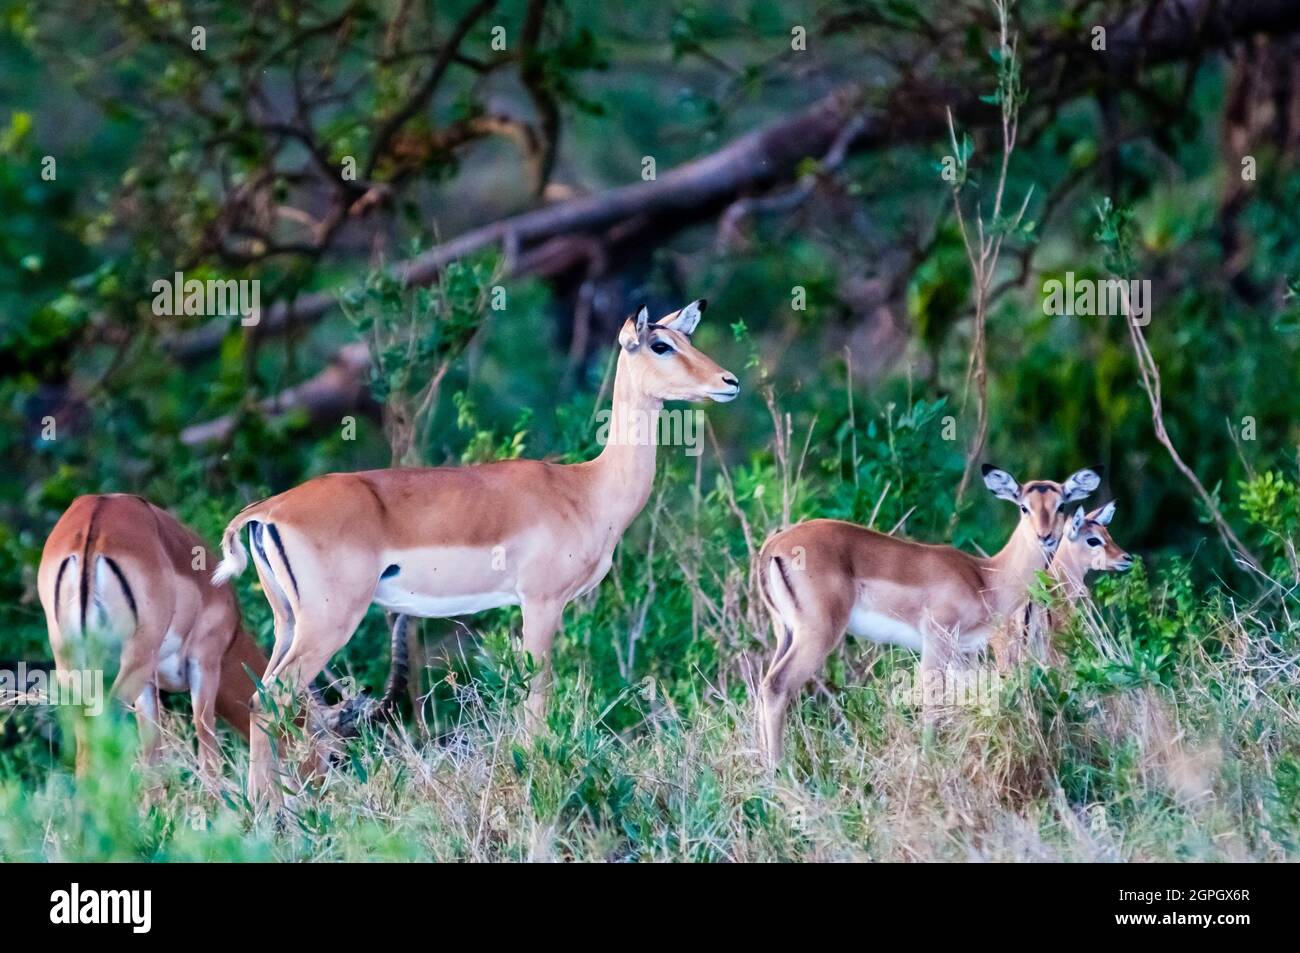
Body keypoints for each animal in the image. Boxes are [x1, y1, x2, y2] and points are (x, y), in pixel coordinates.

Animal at [34, 494, 266, 774]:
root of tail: (93, 522)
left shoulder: (149, 685)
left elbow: (153, 759)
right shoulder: (204, 663)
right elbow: (208, 756)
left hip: (72, 665)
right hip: (134, 662)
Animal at [213, 299, 743, 800]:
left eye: (686, 338)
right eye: (661, 345)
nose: (729, 381)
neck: (587, 489)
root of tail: (267, 510)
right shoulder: (542, 602)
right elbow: (537, 696)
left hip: (287, 623)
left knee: (261, 699)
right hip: (329, 622)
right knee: (272, 700)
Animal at [759, 462, 1102, 764]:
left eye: (1061, 504)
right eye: (1024, 507)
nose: (1046, 537)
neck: (986, 577)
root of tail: (774, 545)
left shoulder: (964, 652)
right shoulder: (937, 639)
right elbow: (932, 700)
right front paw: (929, 760)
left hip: (786, 633)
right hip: (818, 634)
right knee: (776, 685)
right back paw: (779, 774)